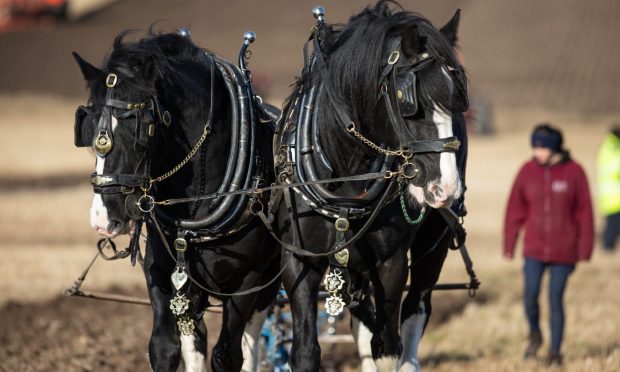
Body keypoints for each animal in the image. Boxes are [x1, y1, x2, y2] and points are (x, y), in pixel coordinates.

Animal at [71, 32, 280, 372]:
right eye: (87, 130)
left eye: (140, 129)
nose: (102, 220)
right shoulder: (161, 270)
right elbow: (165, 347)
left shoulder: (248, 281)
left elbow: (227, 355)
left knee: (251, 338)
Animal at [274, 1, 468, 370]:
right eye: (410, 102)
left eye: (458, 101)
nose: (447, 188)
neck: (345, 179)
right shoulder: (299, 262)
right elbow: (305, 351)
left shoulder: (391, 263)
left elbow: (388, 347)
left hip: (432, 243)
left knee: (415, 311)